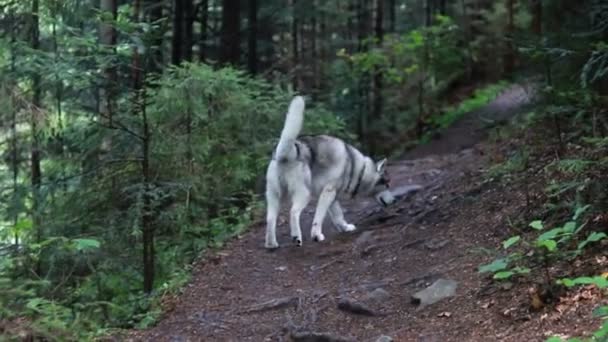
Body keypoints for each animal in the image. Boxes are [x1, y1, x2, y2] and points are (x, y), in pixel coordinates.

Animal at [264, 96, 396, 248]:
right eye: (387, 184)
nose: (395, 200)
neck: (358, 168)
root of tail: (287, 152)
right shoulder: (328, 192)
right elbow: (319, 218)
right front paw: (316, 235)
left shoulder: (332, 197)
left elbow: (338, 215)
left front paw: (345, 227)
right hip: (304, 194)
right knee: (293, 212)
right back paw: (296, 237)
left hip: (274, 196)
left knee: (270, 219)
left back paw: (271, 244)